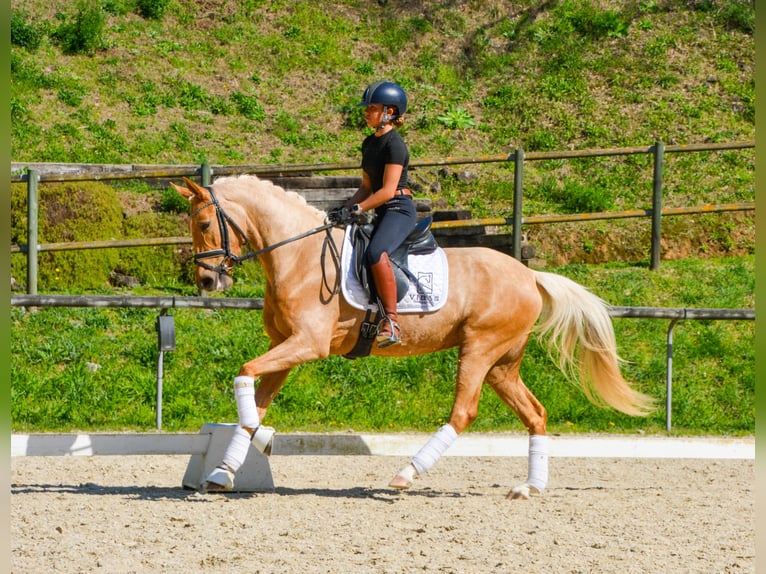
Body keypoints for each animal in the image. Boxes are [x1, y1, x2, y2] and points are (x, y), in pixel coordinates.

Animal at [170, 174, 654, 500]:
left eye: (204, 224)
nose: (207, 281)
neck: (299, 255)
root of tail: (529, 275)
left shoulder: (308, 344)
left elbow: (244, 373)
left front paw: (263, 444)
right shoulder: (284, 347)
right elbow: (253, 401)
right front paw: (224, 471)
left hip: (480, 349)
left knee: (464, 412)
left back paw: (406, 474)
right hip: (502, 363)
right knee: (535, 413)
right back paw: (529, 488)